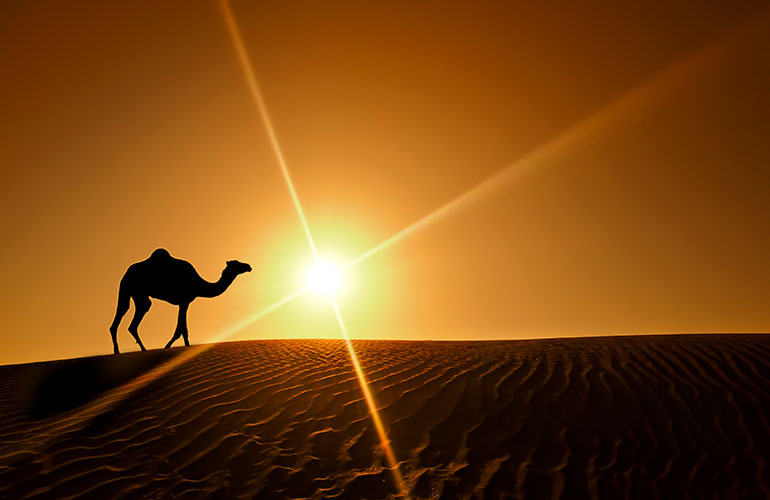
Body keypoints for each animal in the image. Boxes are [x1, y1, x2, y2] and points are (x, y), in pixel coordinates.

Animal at [109, 248, 251, 354]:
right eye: (236, 264)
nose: (248, 266)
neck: (198, 285)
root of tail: (126, 272)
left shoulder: (184, 303)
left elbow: (182, 329)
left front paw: (173, 347)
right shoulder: (184, 301)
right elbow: (182, 329)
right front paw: (170, 347)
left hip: (132, 292)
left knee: (126, 314)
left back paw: (122, 351)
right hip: (134, 290)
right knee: (132, 316)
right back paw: (137, 350)